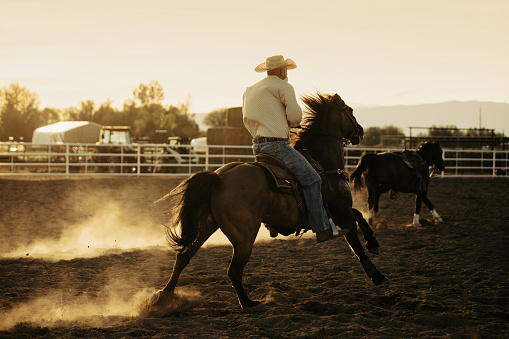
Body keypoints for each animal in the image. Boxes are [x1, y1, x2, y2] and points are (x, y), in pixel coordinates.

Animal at [149, 93, 386, 314]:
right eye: (350, 110)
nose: (361, 131)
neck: (323, 163)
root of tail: (220, 177)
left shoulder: (339, 211)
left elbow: (360, 215)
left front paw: (373, 242)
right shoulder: (341, 211)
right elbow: (355, 239)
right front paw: (376, 274)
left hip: (207, 224)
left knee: (184, 257)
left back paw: (164, 296)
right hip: (244, 237)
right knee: (233, 270)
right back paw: (248, 303)